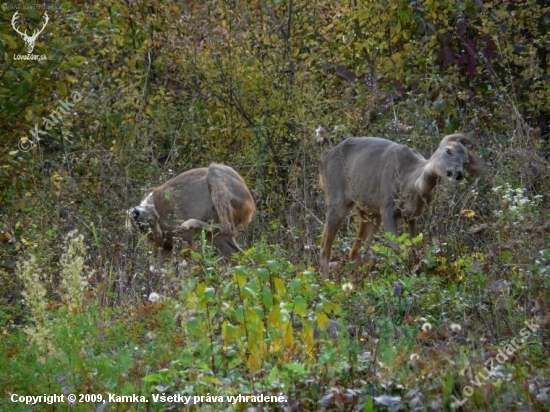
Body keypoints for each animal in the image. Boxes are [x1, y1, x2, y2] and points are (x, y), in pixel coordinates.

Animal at [128, 163, 258, 260]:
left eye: (151, 220)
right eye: (144, 229)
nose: (158, 235)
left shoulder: (176, 230)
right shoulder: (166, 244)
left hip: (222, 183)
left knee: (228, 228)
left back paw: (191, 224)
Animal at [320, 134, 488, 278]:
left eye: (466, 162)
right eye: (448, 150)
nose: (458, 173)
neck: (411, 183)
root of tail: (323, 162)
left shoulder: (412, 216)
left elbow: (412, 248)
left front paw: (414, 268)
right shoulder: (387, 208)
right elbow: (396, 248)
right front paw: (400, 271)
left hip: (369, 211)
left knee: (356, 251)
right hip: (337, 198)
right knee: (325, 245)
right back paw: (326, 281)